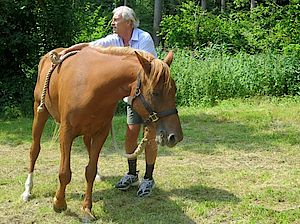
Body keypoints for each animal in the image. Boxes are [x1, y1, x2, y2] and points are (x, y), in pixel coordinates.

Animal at [21, 46, 183, 219]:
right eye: (155, 93)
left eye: (174, 90)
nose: (175, 136)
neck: (91, 87)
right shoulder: (66, 133)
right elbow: (64, 173)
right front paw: (59, 203)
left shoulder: (101, 133)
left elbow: (90, 170)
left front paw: (86, 208)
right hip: (40, 112)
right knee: (34, 150)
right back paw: (27, 190)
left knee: (87, 147)